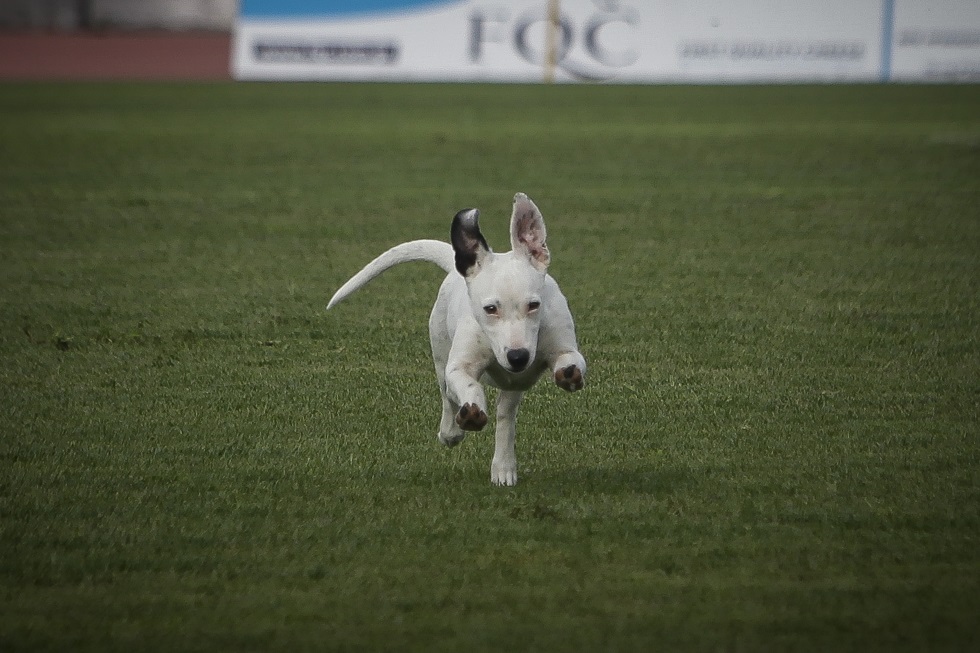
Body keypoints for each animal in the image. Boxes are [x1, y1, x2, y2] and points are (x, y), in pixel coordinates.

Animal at [330, 194, 588, 484]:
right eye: (490, 309)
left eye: (534, 305)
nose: (518, 357)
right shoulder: (458, 367)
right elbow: (468, 385)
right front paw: (472, 412)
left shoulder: (561, 346)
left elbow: (569, 359)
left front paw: (569, 373)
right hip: (440, 354)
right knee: (448, 397)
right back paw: (451, 430)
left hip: (512, 386)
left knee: (505, 415)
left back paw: (503, 466)